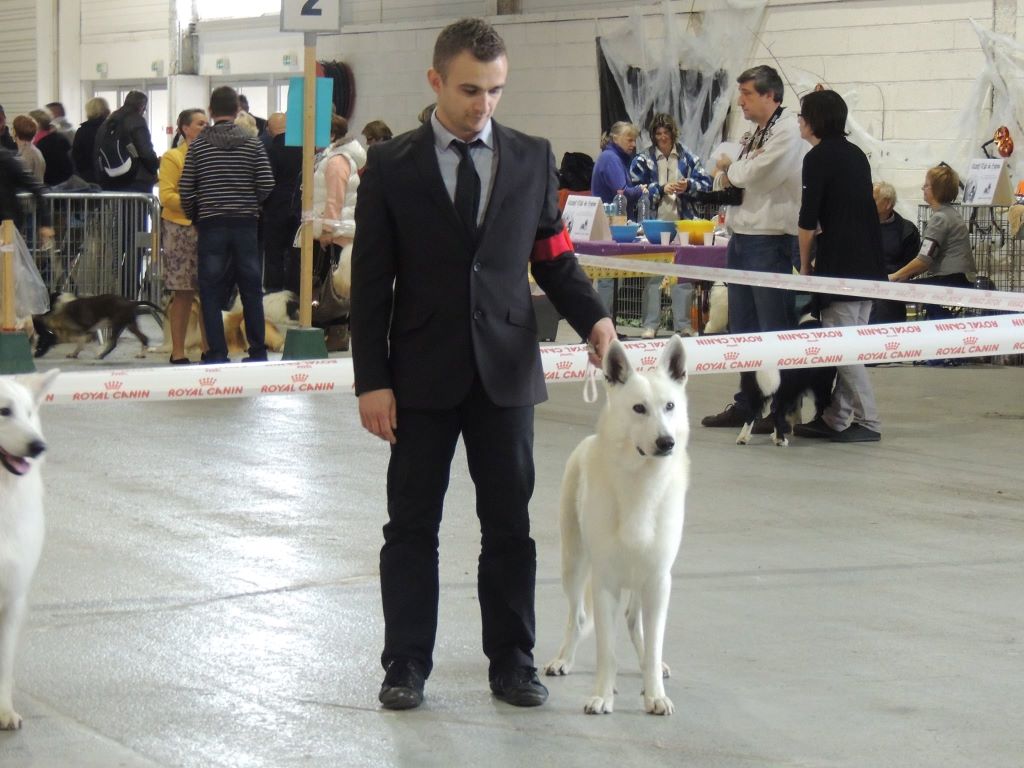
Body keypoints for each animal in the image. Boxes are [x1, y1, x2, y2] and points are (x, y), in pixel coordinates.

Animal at [544, 335, 688, 716]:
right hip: (574, 564)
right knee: (578, 617)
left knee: (634, 622)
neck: (640, 483)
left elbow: (653, 643)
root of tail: (587, 442)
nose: (666, 442)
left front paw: (654, 695)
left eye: (669, 406)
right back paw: (563, 660)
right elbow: (605, 650)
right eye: (639, 408)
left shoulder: (658, 581)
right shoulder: (605, 581)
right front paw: (602, 696)